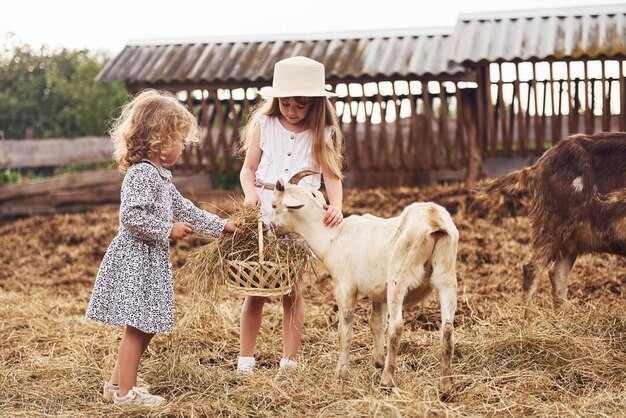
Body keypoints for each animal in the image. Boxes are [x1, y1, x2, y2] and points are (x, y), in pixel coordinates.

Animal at [270, 174, 456, 396]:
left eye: (273, 205)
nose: (270, 227)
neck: (333, 237)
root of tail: (432, 218)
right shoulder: (379, 293)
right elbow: (376, 323)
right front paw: (377, 361)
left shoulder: (344, 286)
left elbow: (345, 329)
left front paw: (341, 373)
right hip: (446, 277)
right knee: (447, 329)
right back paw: (445, 387)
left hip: (399, 278)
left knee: (396, 326)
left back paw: (387, 381)